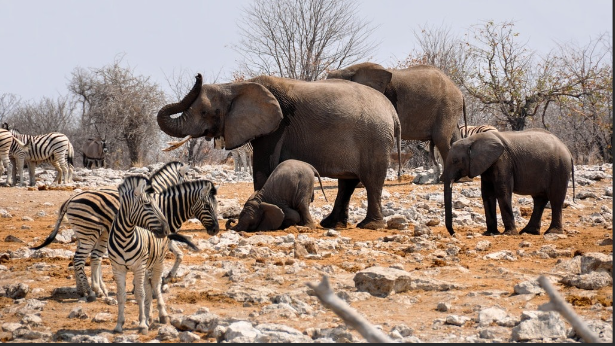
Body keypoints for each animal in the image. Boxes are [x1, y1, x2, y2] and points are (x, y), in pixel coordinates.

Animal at [156, 73, 402, 230]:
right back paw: (332, 224)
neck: (235, 86)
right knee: (347, 183)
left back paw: (370, 226)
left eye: (206, 112)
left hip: (375, 139)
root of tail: (391, 111)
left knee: (371, 180)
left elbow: (263, 168)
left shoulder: (277, 126)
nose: (198, 75)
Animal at [446, 128, 576, 237]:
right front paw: (490, 233)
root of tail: (568, 151)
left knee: (555, 199)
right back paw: (529, 231)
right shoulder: (487, 165)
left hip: (559, 168)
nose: (454, 233)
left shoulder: (503, 161)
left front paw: (509, 234)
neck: (472, 140)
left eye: (455, 161)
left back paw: (552, 233)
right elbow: (487, 194)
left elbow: (502, 192)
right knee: (540, 200)